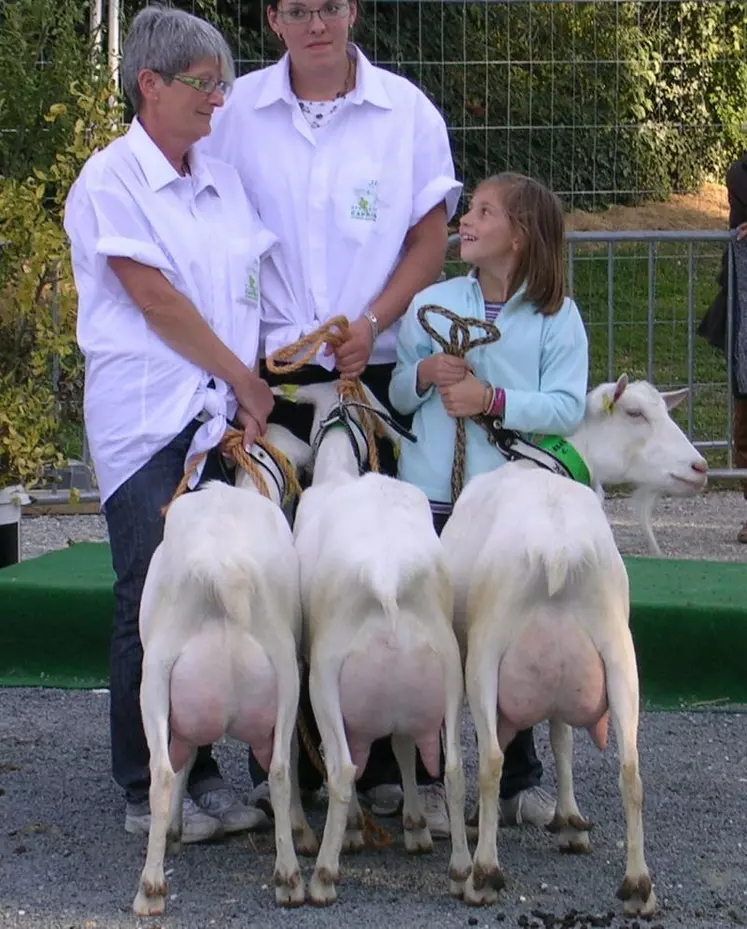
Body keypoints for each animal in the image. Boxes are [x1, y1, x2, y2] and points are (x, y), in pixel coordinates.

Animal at [134, 424, 316, 916]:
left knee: (161, 772)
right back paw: (290, 876)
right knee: (280, 768)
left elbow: (184, 762)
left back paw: (150, 888)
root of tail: (220, 573)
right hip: (286, 677)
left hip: (155, 679)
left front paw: (175, 830)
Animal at [286, 378, 474, 908]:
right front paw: (415, 827)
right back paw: (462, 870)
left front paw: (352, 833)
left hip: (326, 680)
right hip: (447, 674)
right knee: (453, 768)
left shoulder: (306, 662)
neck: (340, 472)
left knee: (343, 767)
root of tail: (387, 581)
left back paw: (324, 874)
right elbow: (406, 746)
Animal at [442, 376, 712, 912]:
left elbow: (557, 737)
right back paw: (638, 884)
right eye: (634, 413)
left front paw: (565, 818)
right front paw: (569, 820)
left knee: (492, 761)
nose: (700, 468)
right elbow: (563, 735)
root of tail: (558, 550)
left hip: (488, 654)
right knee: (630, 768)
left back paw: (484, 871)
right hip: (619, 654)